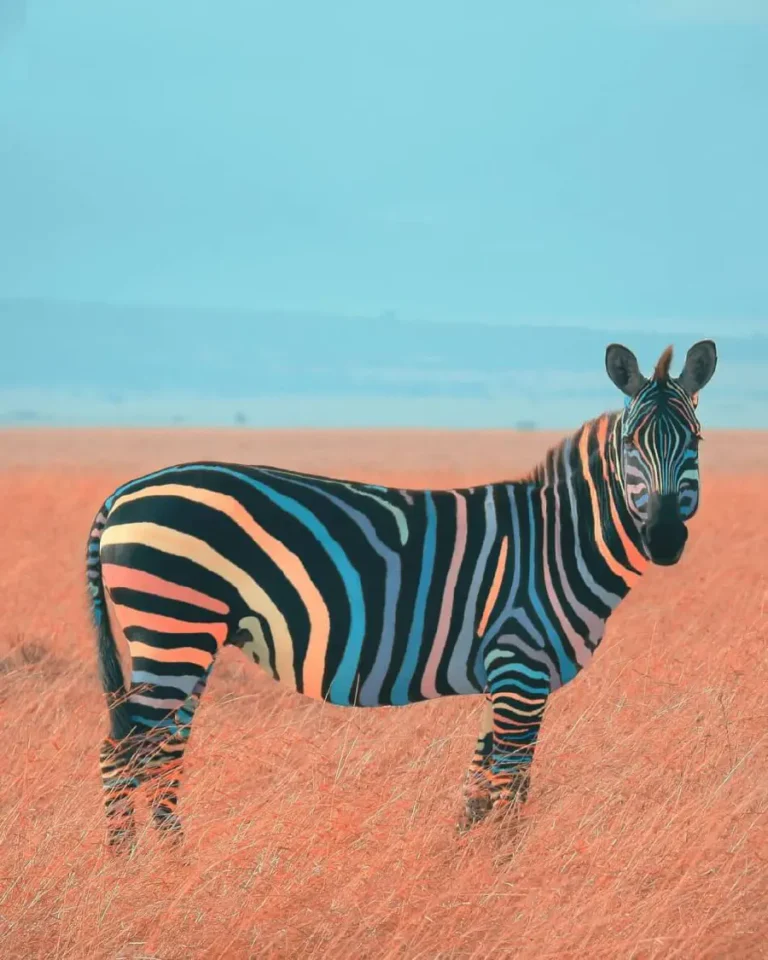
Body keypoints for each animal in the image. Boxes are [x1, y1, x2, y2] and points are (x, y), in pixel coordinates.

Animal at [87, 340, 717, 849]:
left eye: (695, 440)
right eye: (631, 443)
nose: (665, 538)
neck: (559, 542)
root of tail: (125, 490)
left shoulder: (506, 677)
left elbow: (477, 788)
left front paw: (459, 869)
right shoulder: (520, 668)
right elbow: (511, 787)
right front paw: (503, 874)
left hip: (186, 640)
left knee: (161, 756)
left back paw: (175, 867)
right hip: (175, 628)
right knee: (122, 755)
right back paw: (130, 872)